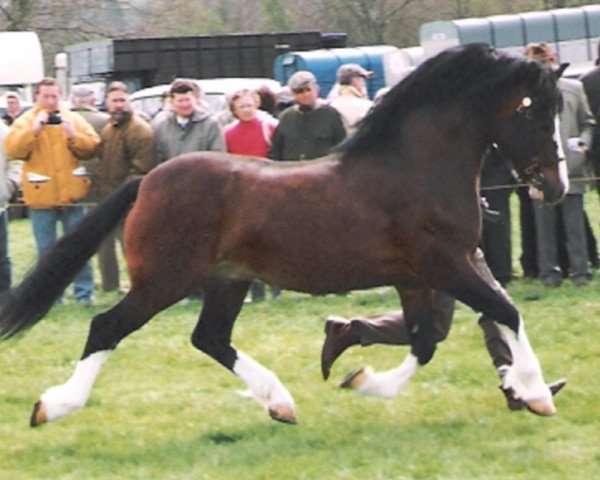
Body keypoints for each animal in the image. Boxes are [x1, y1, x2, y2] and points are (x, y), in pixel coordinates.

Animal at [0, 44, 564, 428]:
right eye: (538, 113)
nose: (555, 188)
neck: (417, 165)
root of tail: (147, 181)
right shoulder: (446, 264)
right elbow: (505, 312)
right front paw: (537, 394)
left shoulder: (416, 277)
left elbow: (426, 340)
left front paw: (362, 379)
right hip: (164, 281)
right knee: (107, 328)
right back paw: (52, 405)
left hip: (226, 280)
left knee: (210, 338)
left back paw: (281, 403)